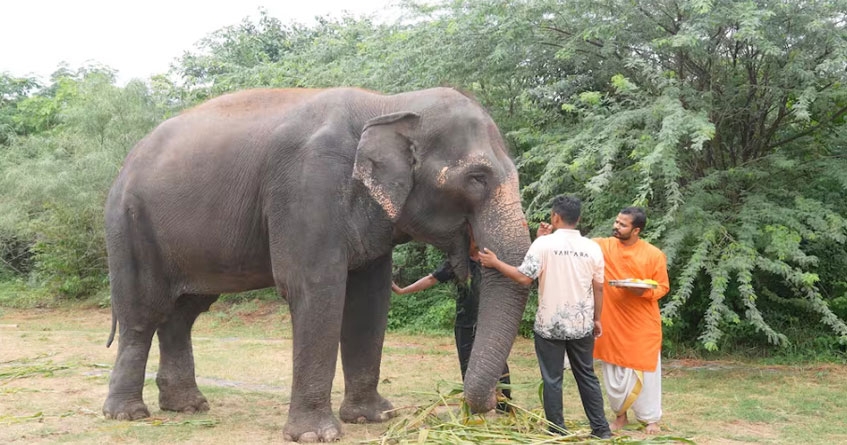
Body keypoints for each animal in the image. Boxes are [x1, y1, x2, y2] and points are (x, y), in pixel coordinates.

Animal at [102, 87, 531, 442]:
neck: (388, 104)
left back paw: (188, 406)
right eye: (476, 177)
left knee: (184, 313)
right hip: (130, 226)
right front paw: (316, 435)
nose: (478, 409)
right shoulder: (307, 185)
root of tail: (123, 166)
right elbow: (315, 288)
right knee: (142, 315)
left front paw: (375, 417)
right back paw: (127, 415)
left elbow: (370, 298)